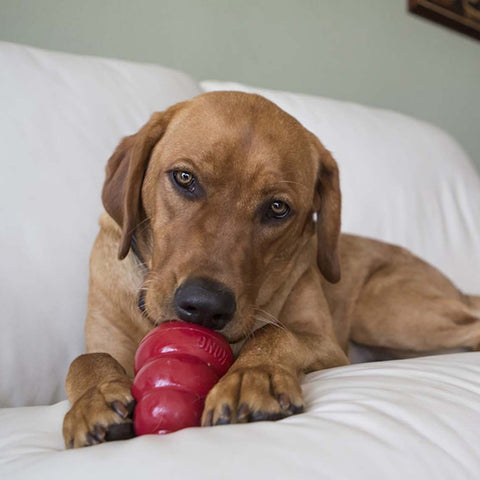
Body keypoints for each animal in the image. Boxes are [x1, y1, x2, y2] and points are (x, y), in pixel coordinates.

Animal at [62, 91, 480, 450]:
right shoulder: (108, 342)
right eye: (184, 178)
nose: (204, 306)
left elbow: (274, 332)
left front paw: (252, 376)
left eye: (277, 208)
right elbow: (87, 359)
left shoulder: (327, 344)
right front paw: (93, 398)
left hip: (384, 311)